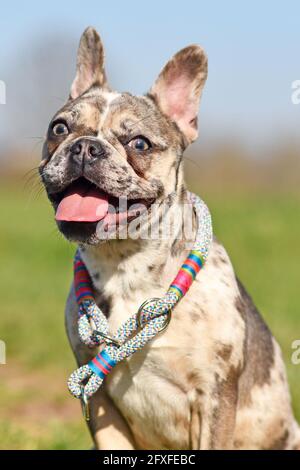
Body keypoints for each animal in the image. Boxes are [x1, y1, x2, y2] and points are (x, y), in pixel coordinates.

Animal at [39, 26, 300, 452]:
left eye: (139, 143)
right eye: (59, 128)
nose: (85, 146)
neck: (126, 265)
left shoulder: (213, 396)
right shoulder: (99, 396)